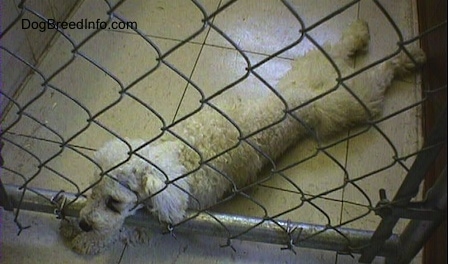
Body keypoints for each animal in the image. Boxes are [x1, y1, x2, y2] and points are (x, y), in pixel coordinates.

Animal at [60, 21, 426, 254]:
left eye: (114, 202)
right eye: (91, 191)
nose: (83, 223)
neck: (177, 156)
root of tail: (308, 91)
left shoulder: (171, 217)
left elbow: (124, 230)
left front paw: (86, 241)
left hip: (347, 103)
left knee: (378, 75)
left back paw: (406, 59)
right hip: (317, 66)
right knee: (342, 47)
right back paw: (363, 34)